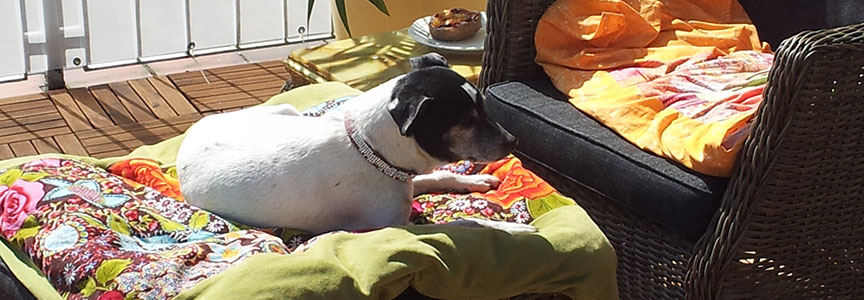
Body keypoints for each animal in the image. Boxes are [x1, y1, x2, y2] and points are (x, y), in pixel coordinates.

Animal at [176, 52, 532, 234]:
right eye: (467, 121)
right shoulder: (394, 227)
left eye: (484, 107)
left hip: (284, 111)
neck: (372, 150)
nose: (513, 141)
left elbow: (438, 176)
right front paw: (513, 231)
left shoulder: (404, 182)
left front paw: (474, 180)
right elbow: (468, 224)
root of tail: (187, 140)